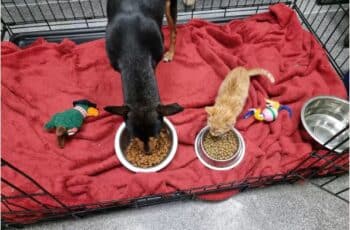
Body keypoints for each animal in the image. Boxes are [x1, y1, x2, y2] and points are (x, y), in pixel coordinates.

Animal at [104, 0, 183, 153]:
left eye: (155, 135)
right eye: (134, 137)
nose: (147, 152)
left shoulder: (154, 62)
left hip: (170, 7)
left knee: (174, 30)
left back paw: (170, 53)